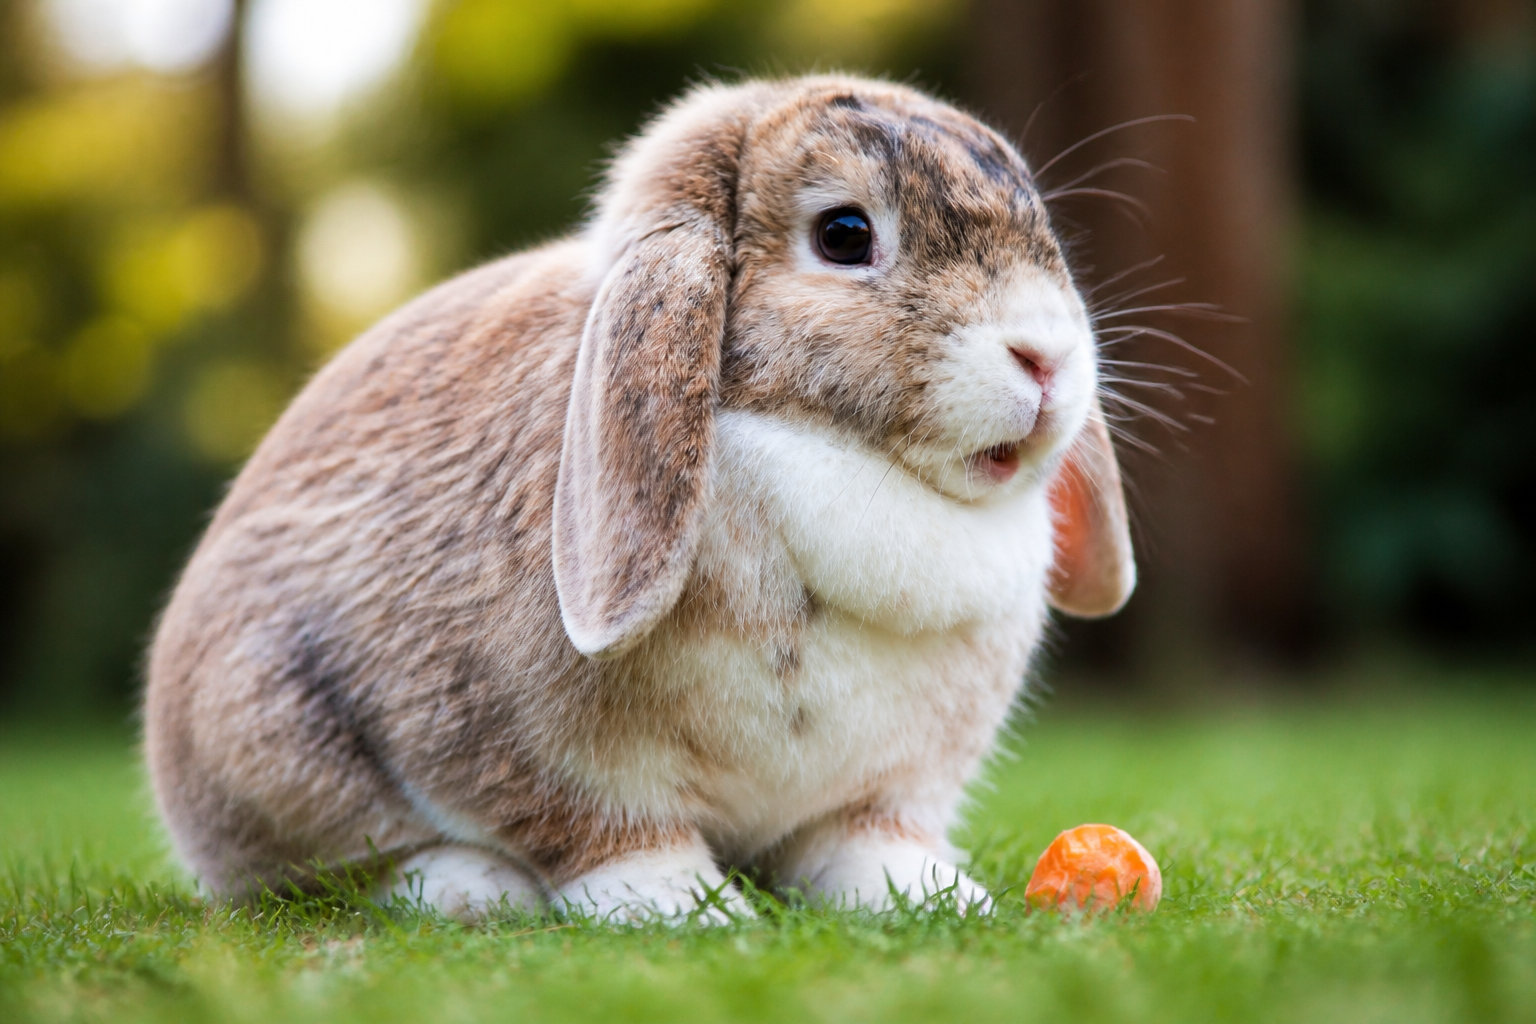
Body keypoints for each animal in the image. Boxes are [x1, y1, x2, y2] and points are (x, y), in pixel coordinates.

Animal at [143, 73, 1135, 923]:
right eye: (845, 234)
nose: (1047, 357)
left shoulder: (889, 787)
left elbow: (861, 840)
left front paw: (932, 897)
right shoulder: (559, 763)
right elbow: (616, 841)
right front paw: (693, 913)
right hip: (275, 744)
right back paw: (471, 889)